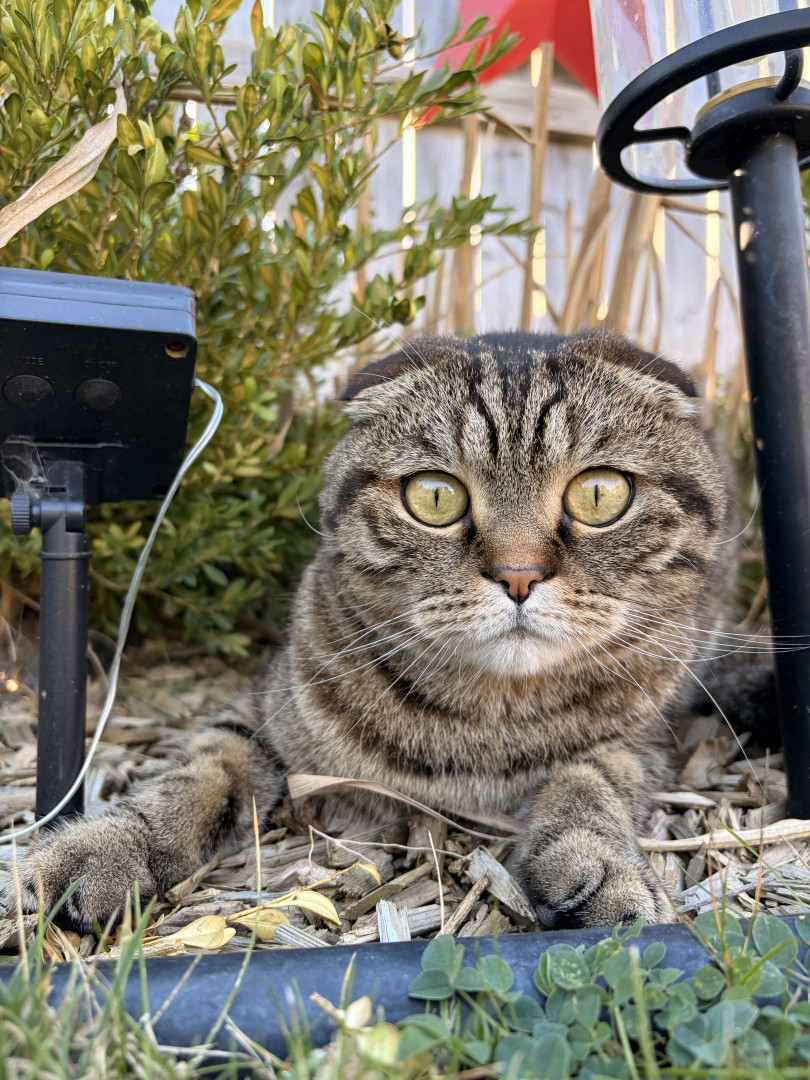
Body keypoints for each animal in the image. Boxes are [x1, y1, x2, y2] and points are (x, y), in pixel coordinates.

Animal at [8, 329, 748, 932]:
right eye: (435, 496)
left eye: (599, 494)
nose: (517, 575)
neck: (485, 722)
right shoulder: (259, 713)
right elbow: (193, 774)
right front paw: (98, 848)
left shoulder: (643, 737)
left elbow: (590, 782)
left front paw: (606, 871)